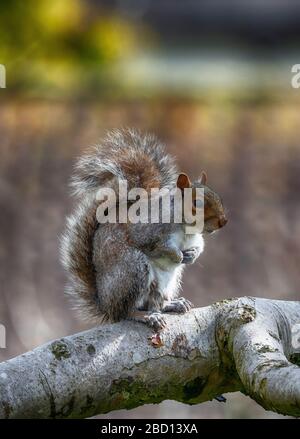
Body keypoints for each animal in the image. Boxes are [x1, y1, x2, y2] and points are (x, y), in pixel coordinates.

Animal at [59, 129, 226, 332]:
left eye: (218, 197)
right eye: (197, 203)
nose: (223, 221)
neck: (186, 229)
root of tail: (106, 307)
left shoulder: (196, 238)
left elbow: (200, 246)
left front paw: (192, 255)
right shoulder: (146, 232)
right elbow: (156, 247)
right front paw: (177, 255)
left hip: (167, 282)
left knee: (154, 303)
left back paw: (173, 304)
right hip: (133, 270)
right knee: (127, 312)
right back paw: (146, 316)